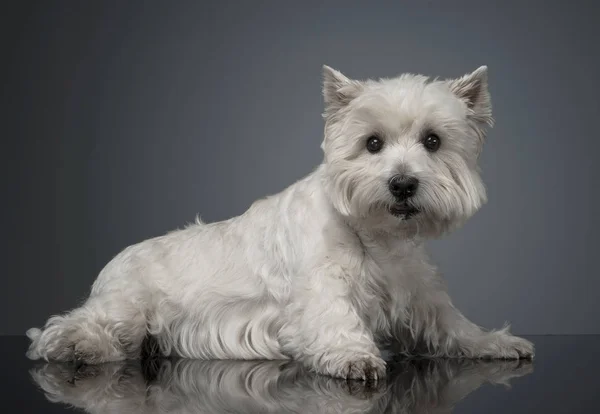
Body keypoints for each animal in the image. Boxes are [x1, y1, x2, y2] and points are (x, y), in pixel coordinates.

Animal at [27, 64, 536, 378]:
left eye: (433, 140)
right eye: (372, 143)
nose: (402, 184)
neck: (378, 236)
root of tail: (115, 261)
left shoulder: (420, 292)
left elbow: (454, 326)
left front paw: (495, 342)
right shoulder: (319, 289)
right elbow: (334, 319)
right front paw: (355, 357)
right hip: (128, 304)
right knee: (74, 326)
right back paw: (76, 346)